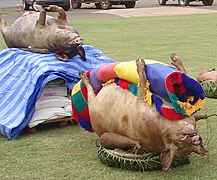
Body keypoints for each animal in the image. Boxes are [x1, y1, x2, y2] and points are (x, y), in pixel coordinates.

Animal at [78, 59, 209, 172]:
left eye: (177, 143)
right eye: (183, 136)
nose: (196, 138)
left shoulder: (141, 103)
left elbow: (142, 85)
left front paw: (140, 64)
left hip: (94, 109)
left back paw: (83, 76)